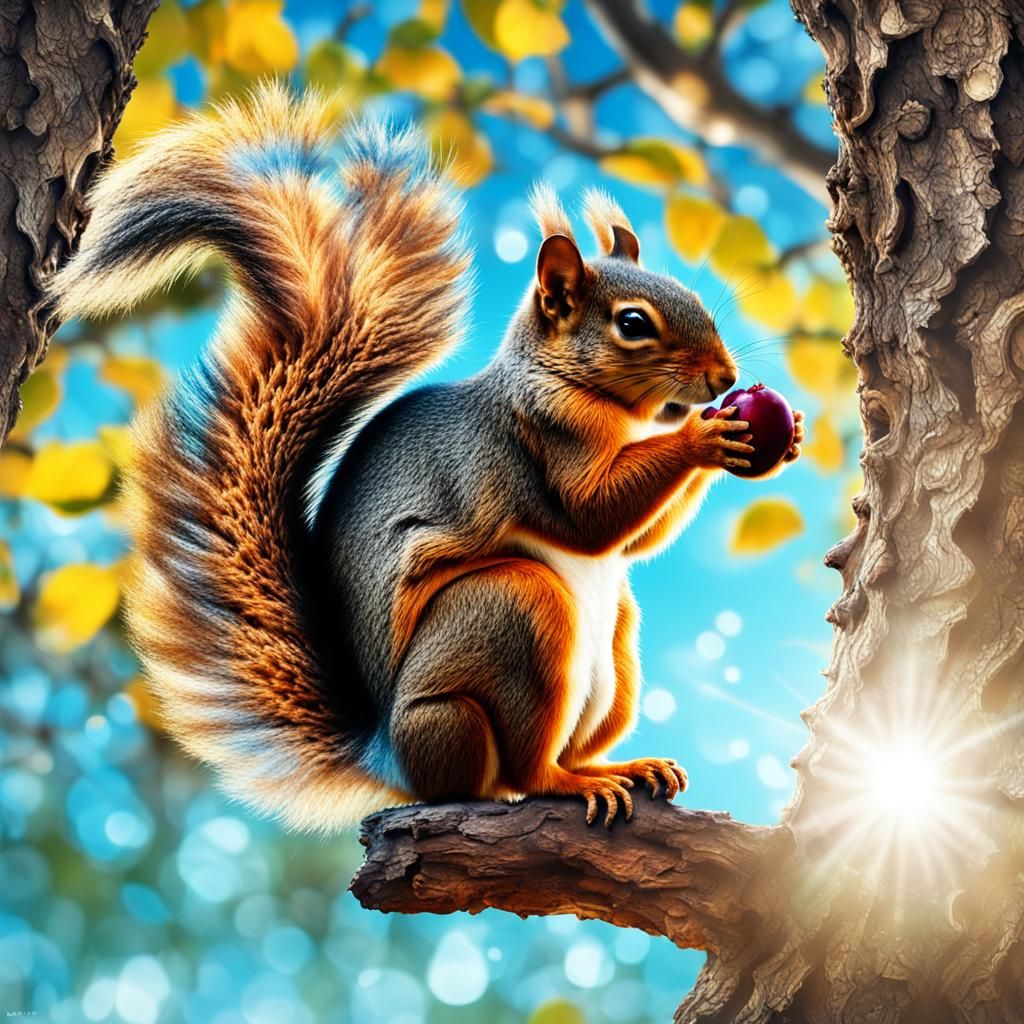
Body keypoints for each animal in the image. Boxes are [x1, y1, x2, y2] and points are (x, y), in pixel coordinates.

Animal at [49, 84, 804, 832]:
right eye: (633, 324)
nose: (725, 378)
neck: (594, 400)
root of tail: (390, 752)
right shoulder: (533, 442)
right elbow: (593, 516)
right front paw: (702, 436)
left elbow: (638, 540)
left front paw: (780, 435)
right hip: (509, 615)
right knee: (519, 773)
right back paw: (567, 781)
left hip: (615, 645)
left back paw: (622, 765)